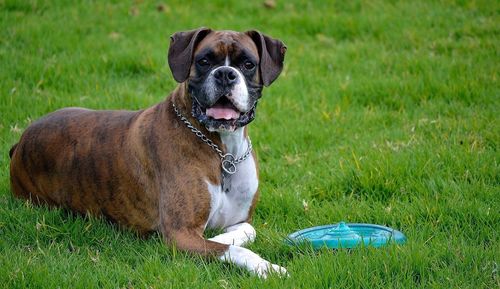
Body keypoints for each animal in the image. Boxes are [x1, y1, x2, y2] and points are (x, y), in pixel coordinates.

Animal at [7, 28, 288, 276]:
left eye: (248, 64)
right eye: (204, 61)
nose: (226, 74)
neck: (223, 152)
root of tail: (20, 142)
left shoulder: (240, 220)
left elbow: (247, 231)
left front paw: (221, 237)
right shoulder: (180, 233)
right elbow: (234, 250)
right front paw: (267, 267)